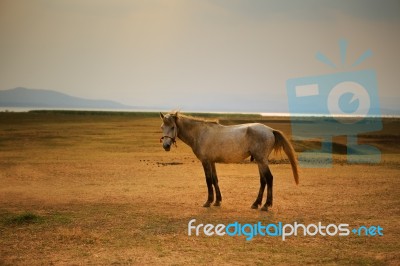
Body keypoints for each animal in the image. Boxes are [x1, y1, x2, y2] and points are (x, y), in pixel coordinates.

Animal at [158, 111, 298, 211]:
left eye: (172, 127)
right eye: (162, 127)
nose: (166, 146)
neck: (200, 133)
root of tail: (270, 130)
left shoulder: (205, 161)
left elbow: (208, 180)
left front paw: (208, 201)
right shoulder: (212, 162)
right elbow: (214, 180)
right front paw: (217, 201)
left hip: (262, 160)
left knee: (269, 179)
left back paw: (266, 205)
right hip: (260, 161)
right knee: (263, 180)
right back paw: (256, 203)